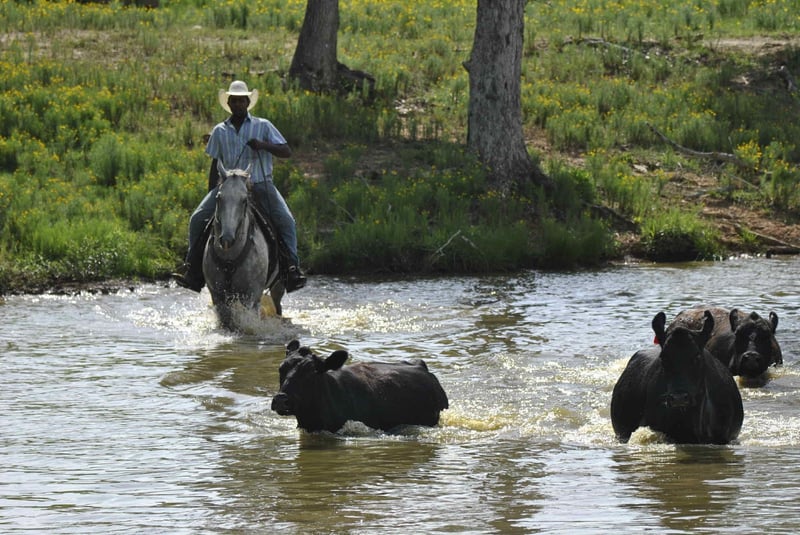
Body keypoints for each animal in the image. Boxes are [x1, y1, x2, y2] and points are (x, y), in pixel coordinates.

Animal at [202, 162, 285, 330]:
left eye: (244, 200)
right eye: (219, 198)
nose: (227, 238)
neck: (229, 258)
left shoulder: (251, 296)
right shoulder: (218, 295)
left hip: (278, 286)